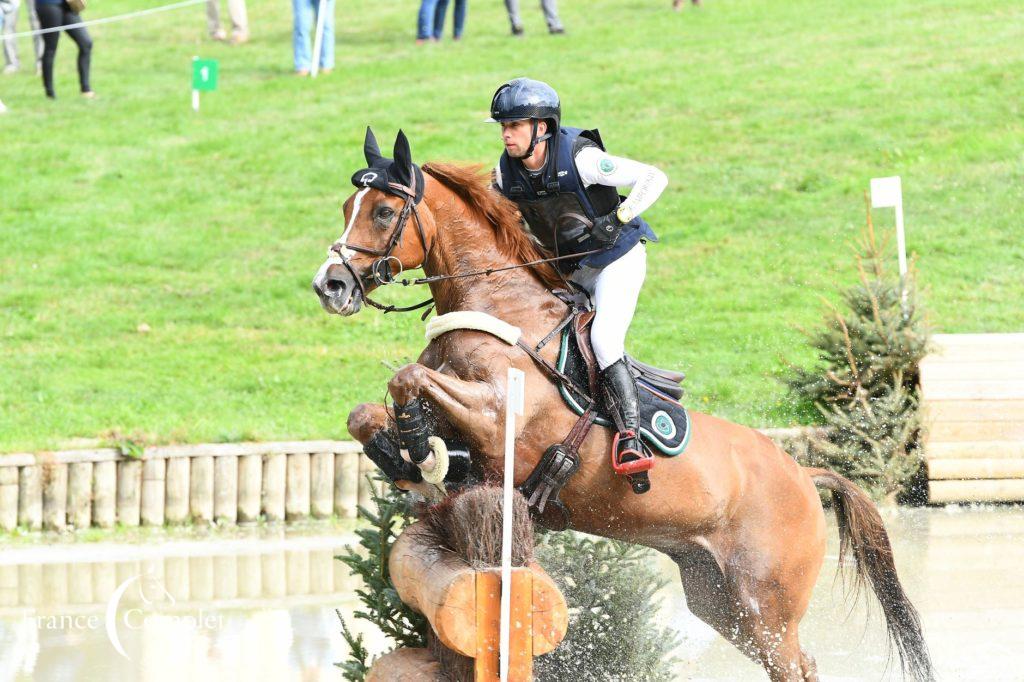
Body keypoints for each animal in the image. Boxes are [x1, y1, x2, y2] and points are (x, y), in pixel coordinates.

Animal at [313, 133, 937, 679]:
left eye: (384, 213)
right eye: (348, 206)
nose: (330, 286)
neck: (495, 303)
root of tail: (807, 474)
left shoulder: (498, 416)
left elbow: (408, 379)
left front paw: (421, 449)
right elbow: (368, 410)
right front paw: (404, 455)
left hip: (766, 605)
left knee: (794, 665)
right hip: (721, 602)